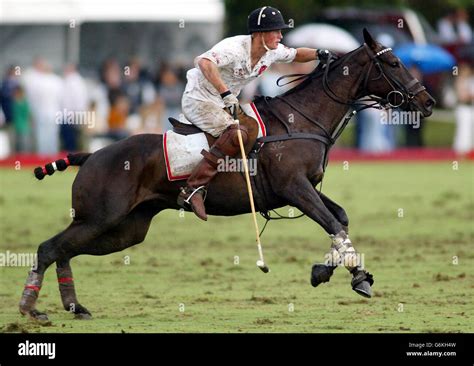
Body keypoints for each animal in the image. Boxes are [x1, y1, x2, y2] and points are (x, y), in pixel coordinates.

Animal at [19, 29, 434, 320]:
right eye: (393, 63)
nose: (427, 102)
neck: (302, 120)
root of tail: (92, 154)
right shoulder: (294, 187)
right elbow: (333, 222)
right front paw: (358, 277)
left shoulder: (304, 187)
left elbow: (341, 218)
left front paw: (325, 270)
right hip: (101, 216)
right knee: (49, 248)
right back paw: (31, 309)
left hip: (126, 229)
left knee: (65, 250)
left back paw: (74, 307)